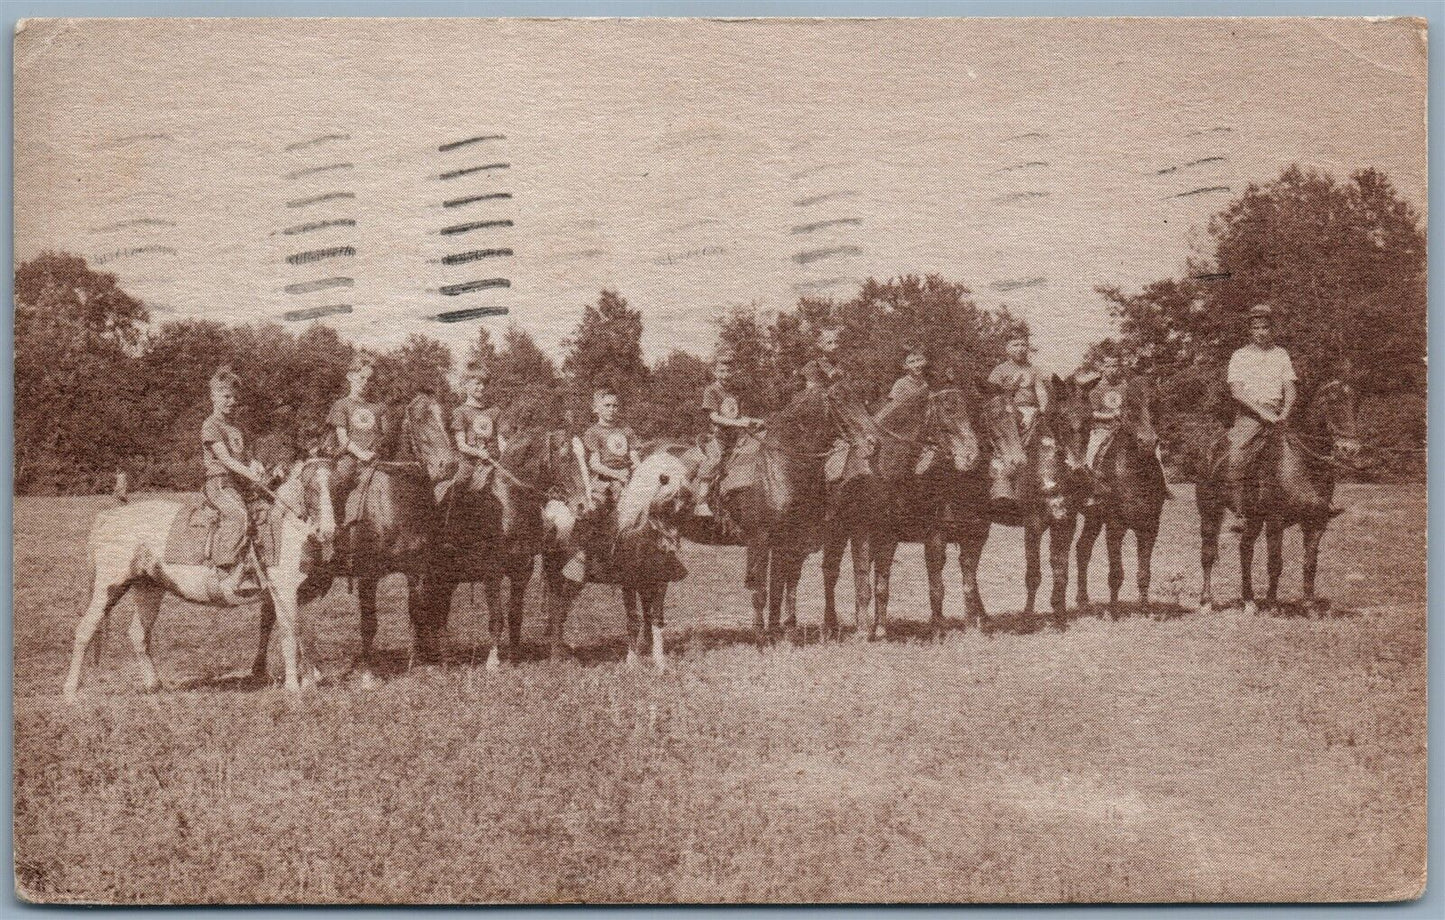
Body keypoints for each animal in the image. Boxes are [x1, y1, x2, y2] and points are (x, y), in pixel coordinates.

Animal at [64, 456, 335, 699]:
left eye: (336, 484)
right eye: (310, 487)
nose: (327, 531)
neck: (287, 530)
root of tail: (111, 515)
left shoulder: (306, 595)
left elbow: (307, 636)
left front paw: (310, 684)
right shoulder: (283, 592)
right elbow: (290, 634)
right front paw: (294, 689)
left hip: (149, 587)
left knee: (138, 635)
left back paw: (153, 685)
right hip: (109, 586)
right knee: (86, 629)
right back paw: (71, 691)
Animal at [1190, 372, 1358, 618]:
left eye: (1355, 405)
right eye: (1332, 403)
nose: (1349, 449)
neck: (1301, 463)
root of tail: (1209, 450)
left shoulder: (1316, 522)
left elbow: (1310, 564)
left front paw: (1310, 607)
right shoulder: (1275, 521)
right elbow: (1275, 563)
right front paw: (1272, 605)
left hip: (1253, 518)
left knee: (1245, 550)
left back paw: (1249, 601)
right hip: (1210, 510)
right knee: (1208, 553)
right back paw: (1206, 602)